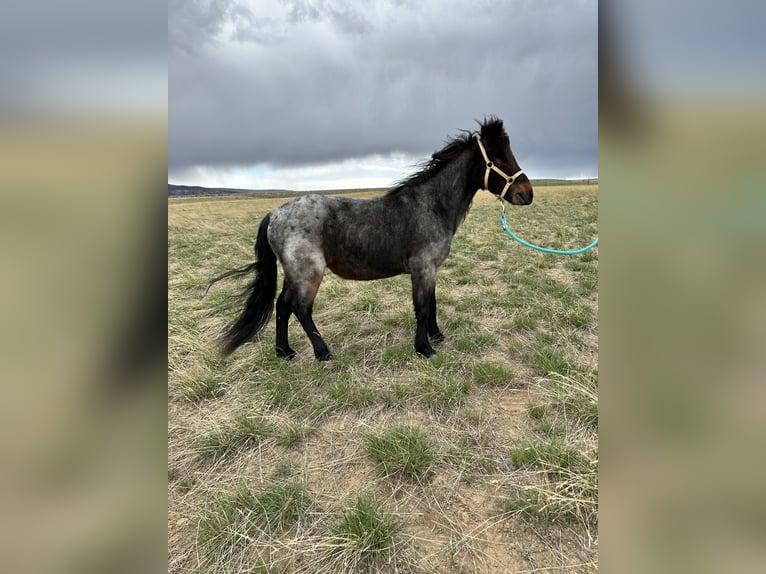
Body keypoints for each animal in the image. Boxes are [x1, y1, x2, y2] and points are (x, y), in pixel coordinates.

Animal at [207, 115, 536, 362]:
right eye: (498, 157)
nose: (527, 194)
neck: (431, 205)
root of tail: (275, 213)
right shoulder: (422, 268)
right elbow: (422, 307)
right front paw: (424, 348)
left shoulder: (431, 270)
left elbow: (432, 303)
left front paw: (438, 337)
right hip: (308, 273)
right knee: (301, 309)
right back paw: (323, 353)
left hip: (294, 274)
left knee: (282, 306)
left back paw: (284, 352)